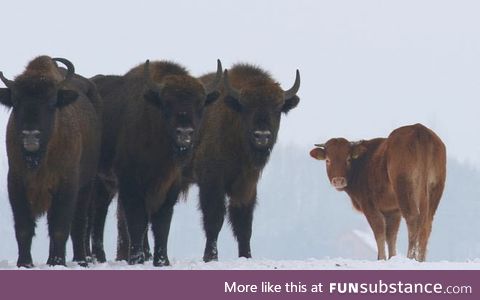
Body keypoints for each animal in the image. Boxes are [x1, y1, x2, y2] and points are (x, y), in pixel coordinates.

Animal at [0, 56, 101, 268]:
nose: (31, 135)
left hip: (86, 186)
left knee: (79, 224)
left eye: (51, 101)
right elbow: (23, 227)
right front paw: (24, 263)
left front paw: (58, 262)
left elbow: (60, 228)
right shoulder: (16, 182)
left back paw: (80, 260)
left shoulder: (67, 185)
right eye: (16, 101)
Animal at [89, 59, 221, 266]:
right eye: (167, 103)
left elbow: (162, 223)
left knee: (99, 212)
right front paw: (137, 259)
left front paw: (162, 261)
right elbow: (137, 220)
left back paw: (99, 257)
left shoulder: (171, 185)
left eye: (200, 104)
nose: (184, 133)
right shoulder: (131, 183)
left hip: (106, 183)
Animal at [188, 63, 300, 262]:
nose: (262, 136)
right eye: (247, 106)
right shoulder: (211, 182)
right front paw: (210, 257)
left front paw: (246, 256)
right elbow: (214, 219)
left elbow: (243, 224)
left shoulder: (247, 185)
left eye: (277, 108)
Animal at [312, 123, 446, 262]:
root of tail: (419, 129)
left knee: (413, 217)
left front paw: (381, 258)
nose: (338, 180)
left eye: (348, 159)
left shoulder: (369, 205)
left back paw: (410, 257)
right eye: (327, 160)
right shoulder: (393, 210)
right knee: (427, 223)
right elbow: (391, 235)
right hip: (435, 188)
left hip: (404, 187)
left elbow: (379, 230)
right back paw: (421, 259)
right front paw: (392, 257)